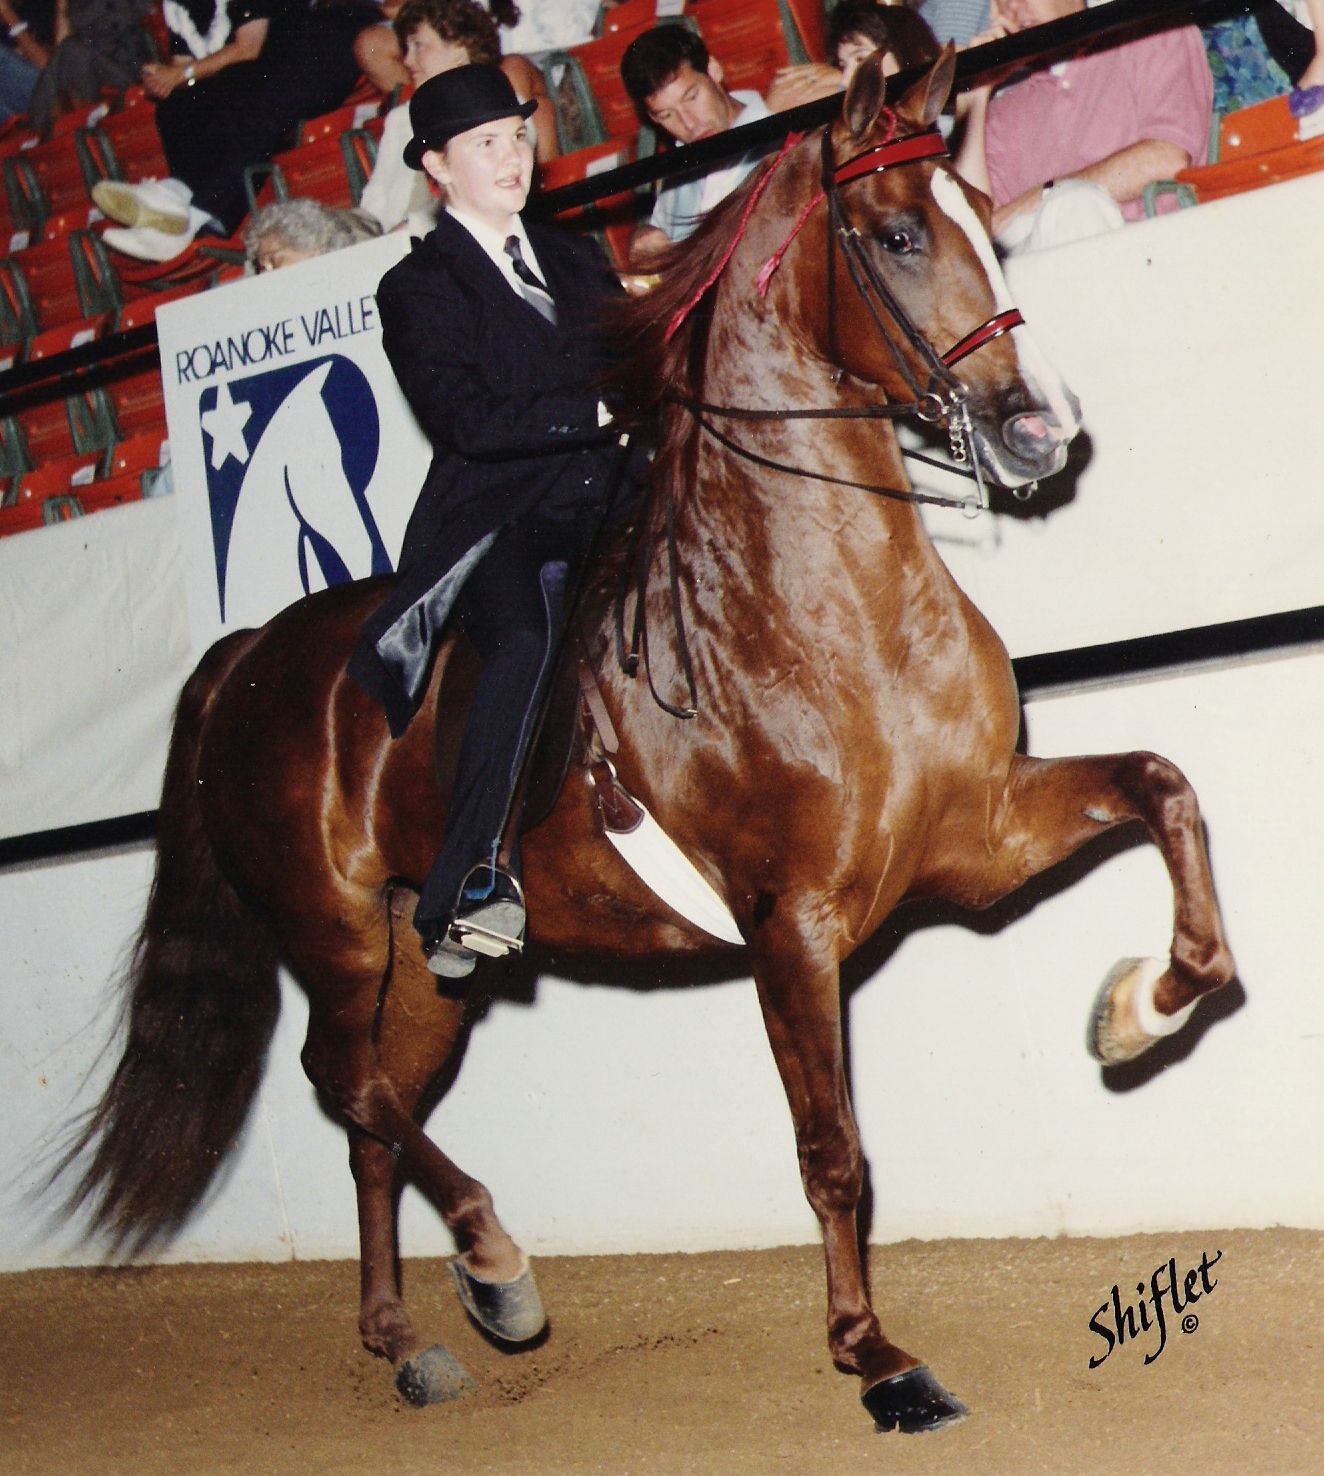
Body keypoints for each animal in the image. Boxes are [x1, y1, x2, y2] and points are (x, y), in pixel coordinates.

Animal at [60, 52, 1236, 1434]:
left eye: (988, 220)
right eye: (898, 233)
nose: (1040, 430)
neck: (827, 608)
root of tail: (249, 651)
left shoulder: (978, 841)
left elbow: (1163, 790)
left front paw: (1136, 1010)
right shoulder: (791, 925)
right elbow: (831, 1151)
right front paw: (876, 1359)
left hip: (424, 967)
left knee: (373, 1116)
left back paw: (412, 1338)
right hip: (334, 934)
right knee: (342, 1083)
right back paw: (495, 1264)